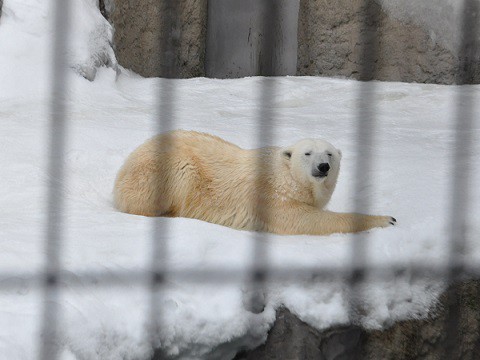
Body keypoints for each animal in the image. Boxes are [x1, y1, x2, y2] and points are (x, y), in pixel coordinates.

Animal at [114, 131, 396, 235]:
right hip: (163, 169)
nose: (322, 167)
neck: (286, 175)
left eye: (329, 154)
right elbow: (307, 220)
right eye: (307, 153)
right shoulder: (273, 197)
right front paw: (386, 219)